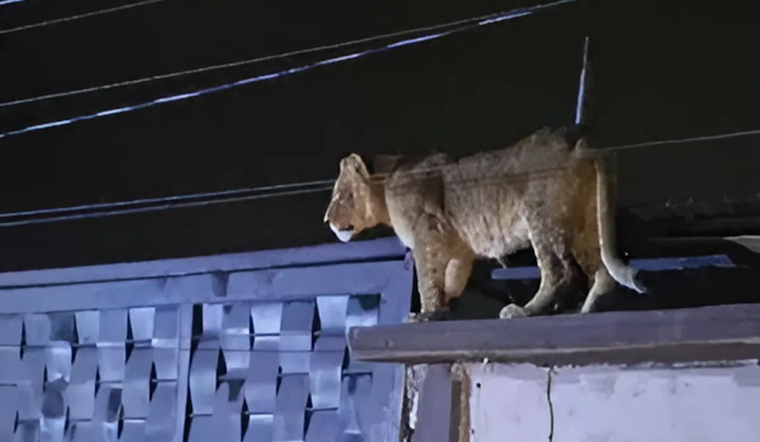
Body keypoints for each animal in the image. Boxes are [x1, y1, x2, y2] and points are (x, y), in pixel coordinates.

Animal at [323, 126, 647, 320]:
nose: (326, 219)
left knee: (560, 272)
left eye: (340, 195)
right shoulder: (456, 247)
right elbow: (449, 280)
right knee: (601, 273)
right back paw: (587, 311)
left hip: (541, 218)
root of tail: (579, 142)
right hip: (585, 222)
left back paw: (524, 311)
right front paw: (442, 310)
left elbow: (427, 277)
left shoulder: (426, 231)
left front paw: (425, 314)